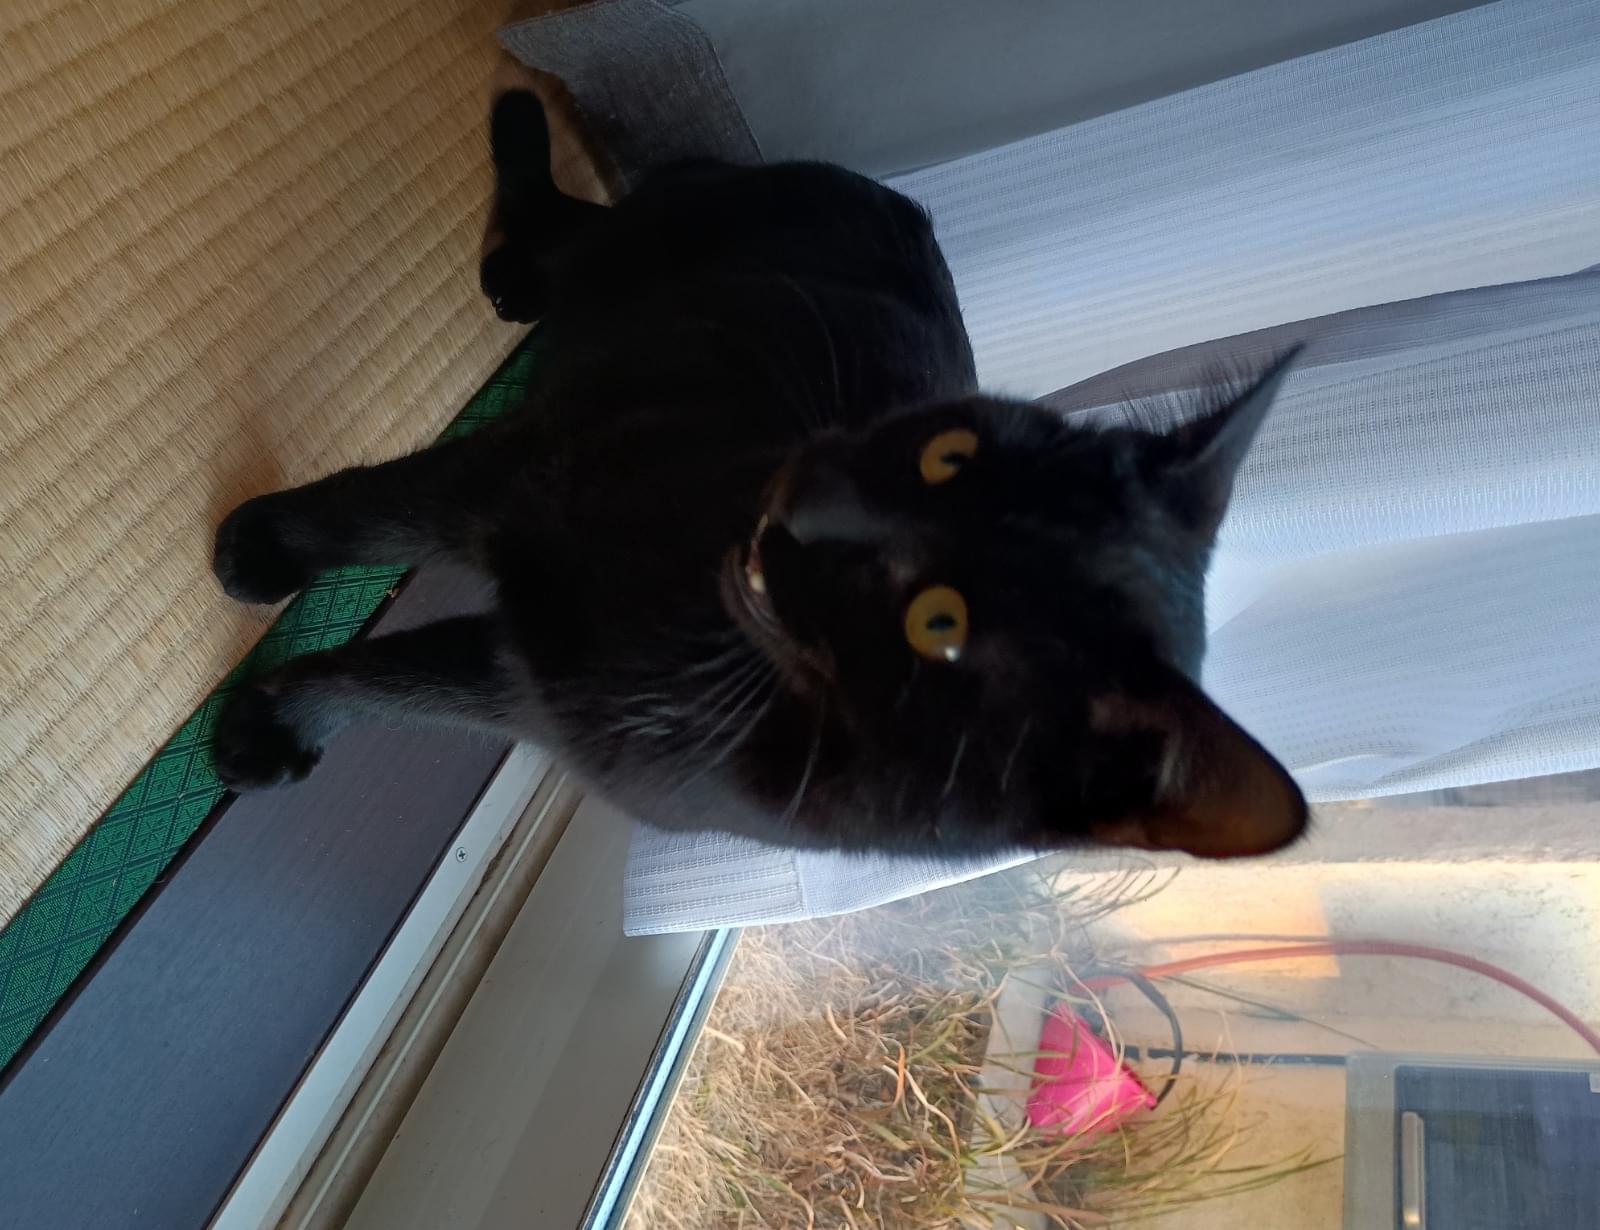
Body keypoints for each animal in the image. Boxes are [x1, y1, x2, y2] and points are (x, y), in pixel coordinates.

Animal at [209, 88, 1307, 860]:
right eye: (947, 454)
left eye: (940, 624)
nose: (818, 502)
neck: (688, 651)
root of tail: (892, 193)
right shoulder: (530, 485)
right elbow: (372, 528)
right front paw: (260, 573)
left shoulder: (540, 679)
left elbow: (400, 680)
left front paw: (265, 715)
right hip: (645, 255)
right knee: (558, 215)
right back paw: (517, 184)